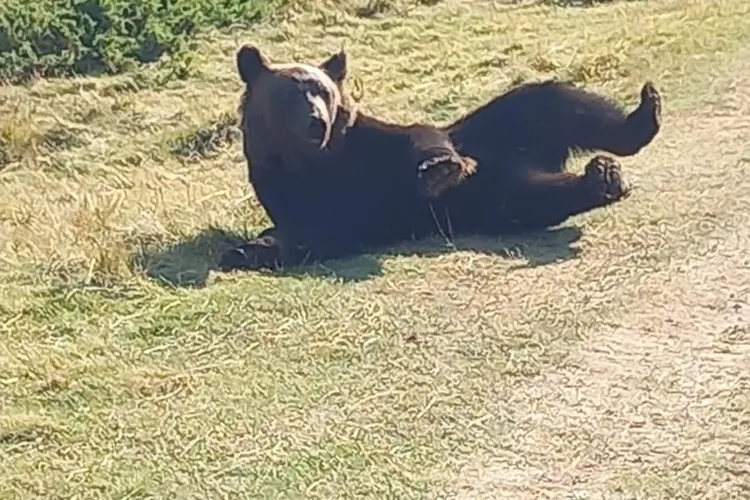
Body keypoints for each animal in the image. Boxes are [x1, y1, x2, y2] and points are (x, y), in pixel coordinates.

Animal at [219, 45, 664, 274]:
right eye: (292, 93)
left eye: (323, 90)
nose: (316, 121)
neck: (314, 161)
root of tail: (538, 159)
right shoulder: (287, 188)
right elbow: (315, 231)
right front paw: (247, 249)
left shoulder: (367, 145)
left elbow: (421, 139)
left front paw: (441, 169)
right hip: (487, 199)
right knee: (530, 196)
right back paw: (601, 178)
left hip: (504, 128)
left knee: (556, 102)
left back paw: (643, 115)